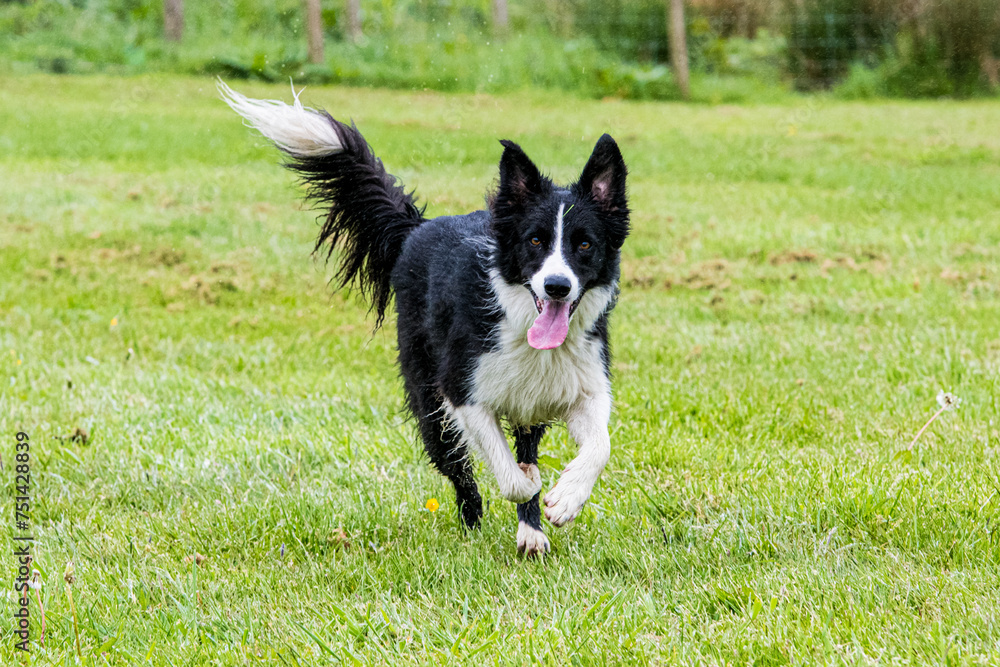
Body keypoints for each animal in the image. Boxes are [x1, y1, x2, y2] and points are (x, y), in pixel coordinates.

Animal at [223, 83, 628, 556]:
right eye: (535, 241)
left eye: (584, 244)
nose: (557, 287)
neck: (519, 319)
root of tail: (418, 227)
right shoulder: (461, 390)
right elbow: (511, 478)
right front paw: (532, 486)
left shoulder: (582, 382)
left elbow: (599, 445)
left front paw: (566, 499)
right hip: (428, 398)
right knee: (460, 468)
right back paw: (480, 519)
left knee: (526, 443)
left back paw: (531, 533)